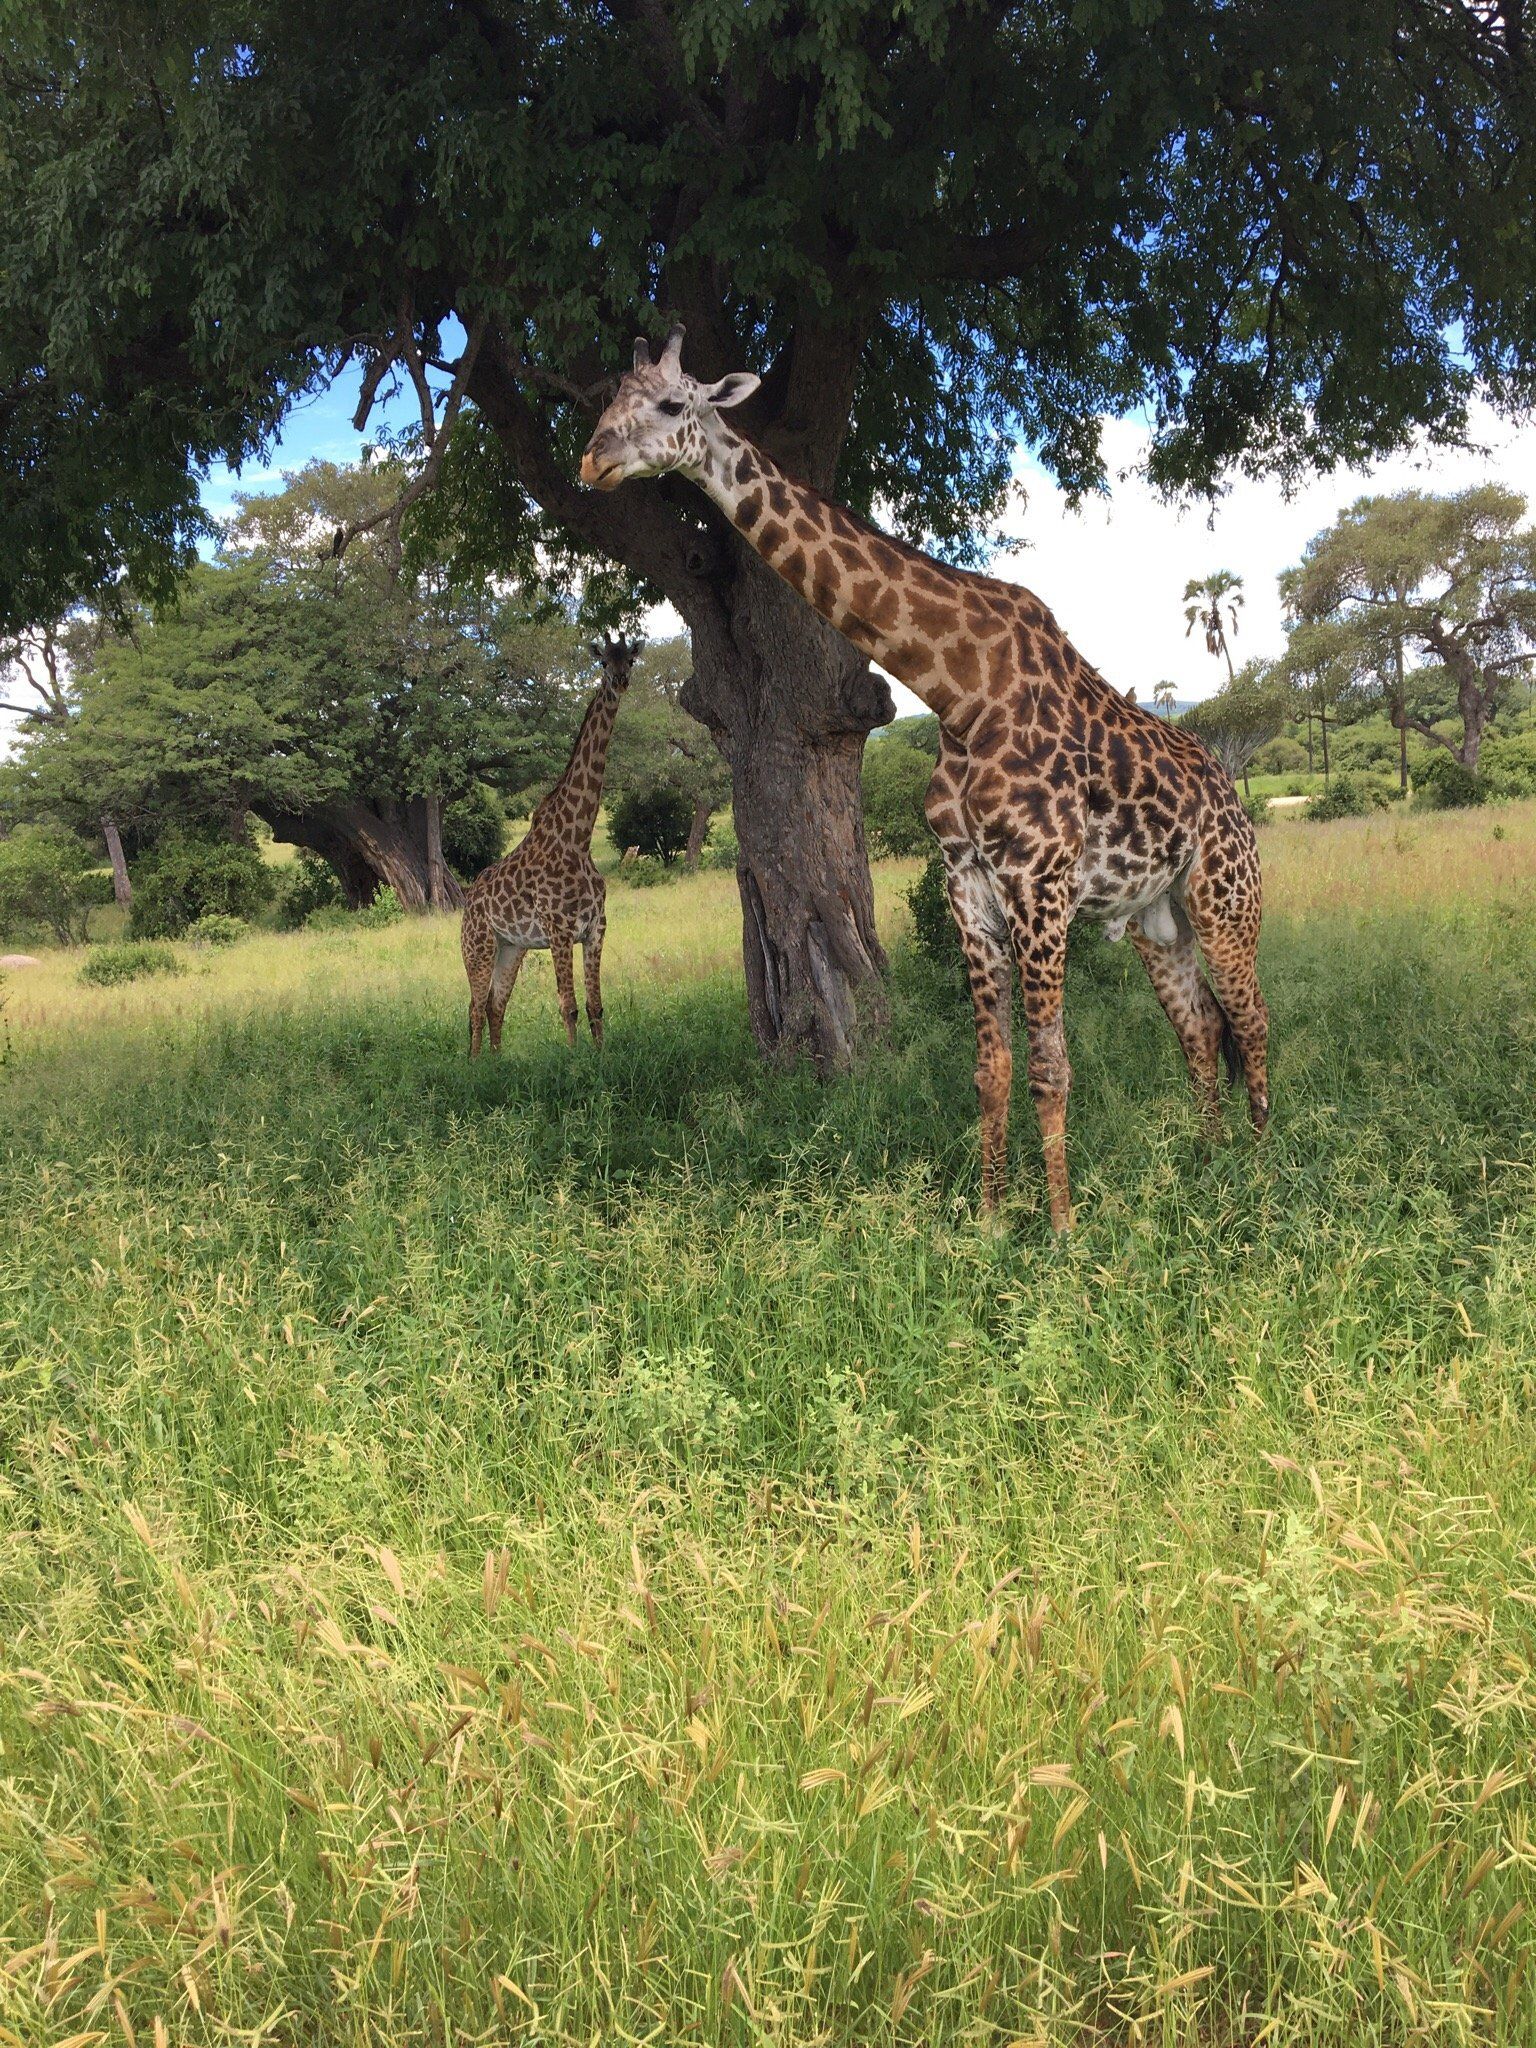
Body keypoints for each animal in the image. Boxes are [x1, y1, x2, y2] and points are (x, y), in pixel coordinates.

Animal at [462, 634, 639, 1056]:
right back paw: (473, 1064)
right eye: (603, 663)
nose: (620, 682)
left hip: (512, 947)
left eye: (630, 660)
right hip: (478, 945)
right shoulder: (560, 929)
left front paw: (601, 1057)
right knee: (474, 1006)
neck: (578, 839)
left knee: (495, 1004)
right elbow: (568, 1006)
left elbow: (595, 1006)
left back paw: (497, 1061)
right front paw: (574, 1062)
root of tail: (465, 902)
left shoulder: (596, 928)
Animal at [579, 329, 1268, 1230]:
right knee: (1202, 1029)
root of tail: (1233, 797)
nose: (591, 462)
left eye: (669, 404)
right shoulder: (968, 881)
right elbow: (991, 1068)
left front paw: (1063, 1231)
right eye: (605, 402)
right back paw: (1209, 1167)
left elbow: (1050, 1066)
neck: (956, 689)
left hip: (1226, 901)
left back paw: (1265, 1181)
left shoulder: (1039, 881)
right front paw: (990, 1221)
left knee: (1253, 1024)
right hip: (1159, 916)